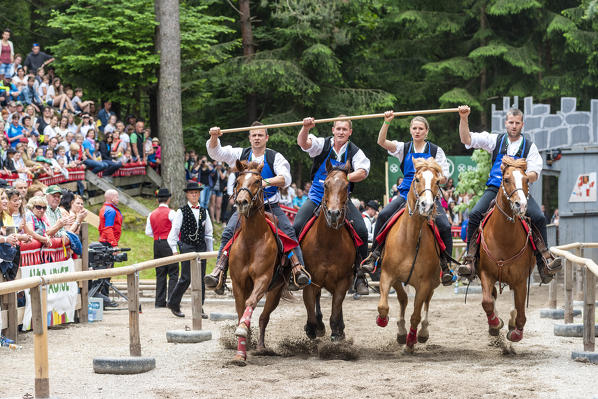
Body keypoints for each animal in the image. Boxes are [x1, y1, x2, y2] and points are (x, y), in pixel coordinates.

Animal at [229, 161, 290, 364]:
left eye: (257, 181)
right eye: (237, 181)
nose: (241, 202)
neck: (251, 241)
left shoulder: (263, 280)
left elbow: (251, 303)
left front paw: (242, 331)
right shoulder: (238, 283)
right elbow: (241, 309)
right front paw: (240, 352)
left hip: (275, 291)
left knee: (264, 317)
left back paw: (262, 347)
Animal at [304, 161, 356, 342]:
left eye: (346, 186)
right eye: (325, 185)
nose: (333, 213)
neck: (327, 243)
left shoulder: (343, 281)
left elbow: (335, 310)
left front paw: (336, 332)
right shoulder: (310, 280)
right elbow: (311, 312)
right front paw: (313, 329)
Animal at [380, 159, 446, 354]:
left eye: (437, 182)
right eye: (416, 179)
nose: (427, 205)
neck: (409, 240)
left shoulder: (424, 284)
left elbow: (416, 315)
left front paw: (410, 342)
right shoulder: (388, 275)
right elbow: (386, 305)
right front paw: (387, 322)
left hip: (433, 282)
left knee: (426, 304)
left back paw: (422, 333)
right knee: (405, 300)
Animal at [480, 158, 536, 342]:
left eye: (526, 180)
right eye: (506, 179)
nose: (521, 204)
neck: (503, 238)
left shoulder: (520, 280)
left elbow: (521, 312)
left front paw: (516, 332)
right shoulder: (485, 273)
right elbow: (487, 302)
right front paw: (496, 323)